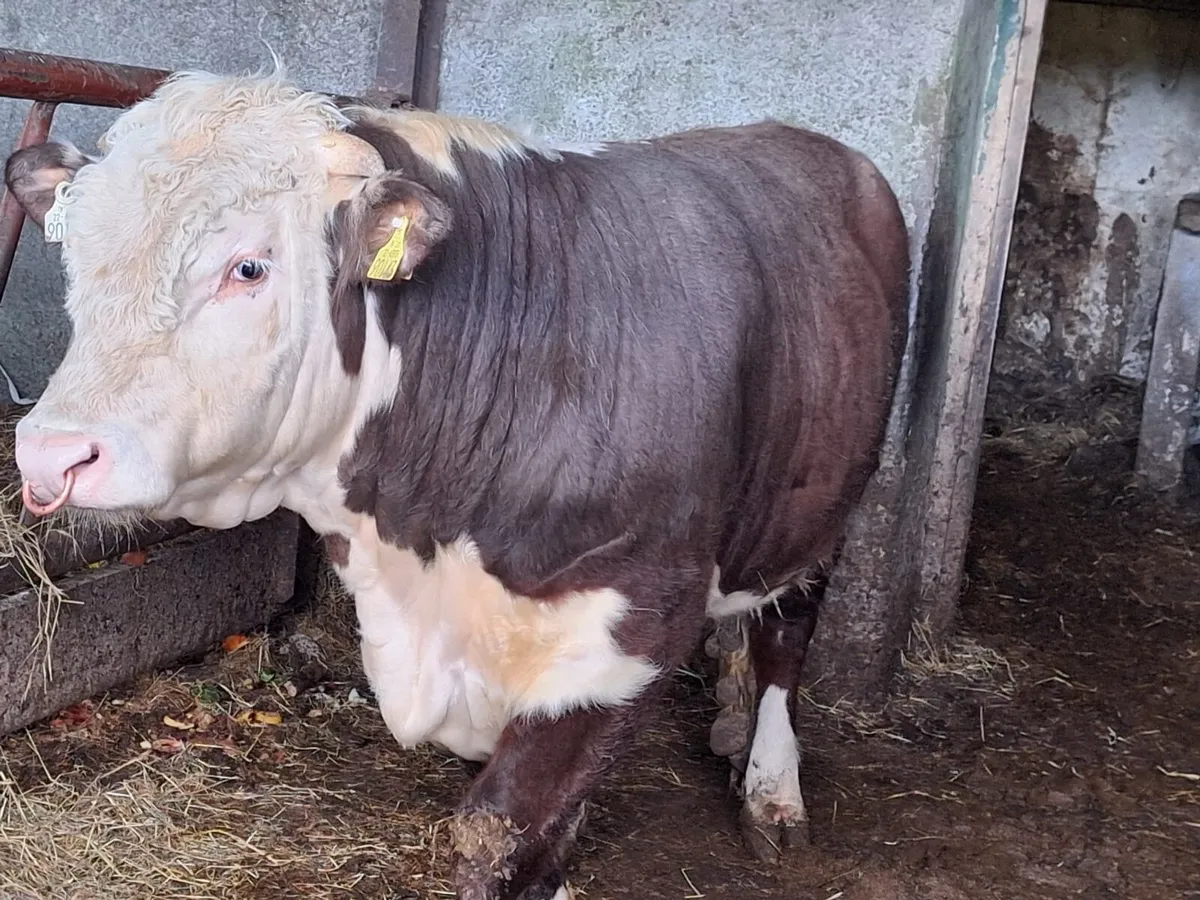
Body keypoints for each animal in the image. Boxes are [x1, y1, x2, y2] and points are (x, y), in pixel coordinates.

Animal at [6, 69, 908, 900]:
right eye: (74, 254)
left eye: (249, 267)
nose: (51, 454)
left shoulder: (635, 623)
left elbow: (499, 827)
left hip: (832, 498)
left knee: (789, 630)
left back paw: (772, 791)